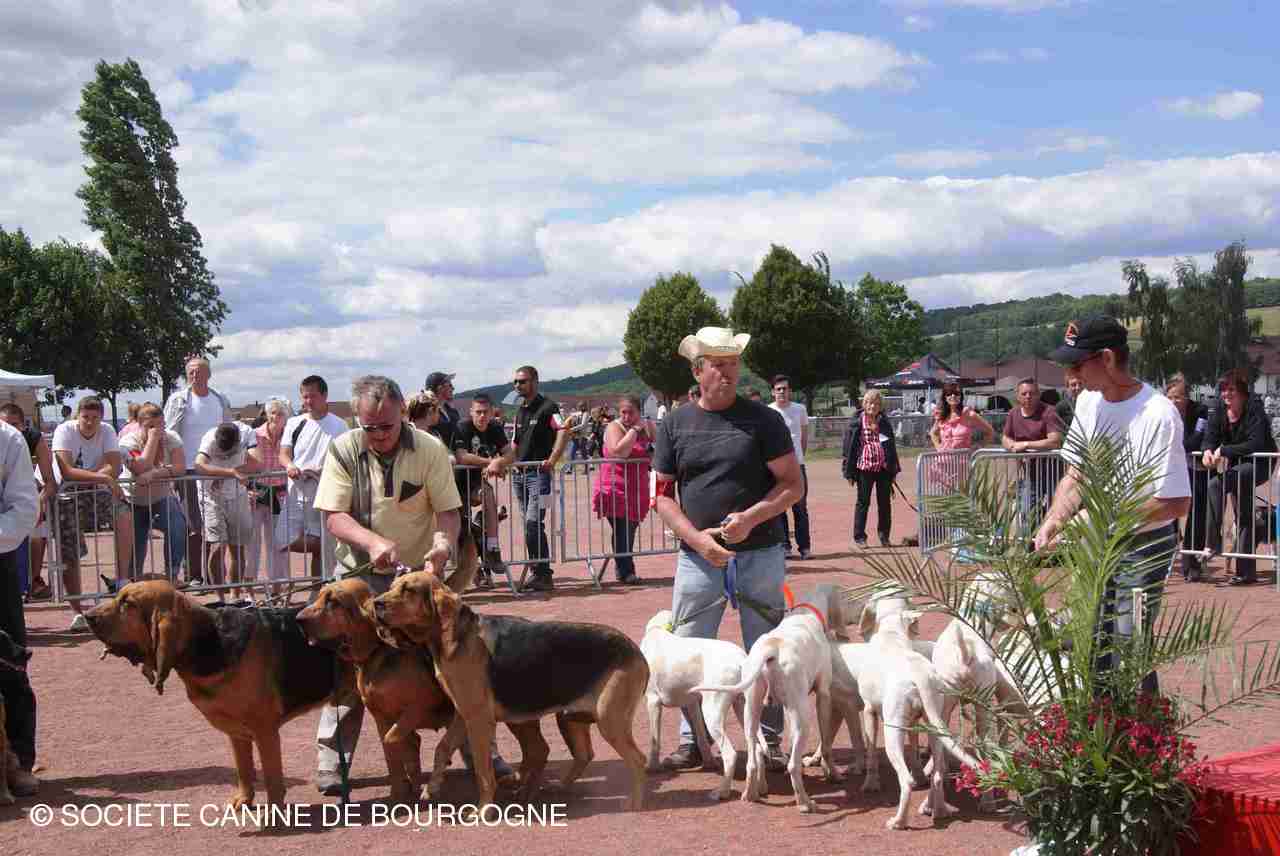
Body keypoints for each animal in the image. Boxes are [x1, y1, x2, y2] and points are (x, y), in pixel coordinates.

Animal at [84, 580, 345, 809]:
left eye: (128, 603)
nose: (88, 616)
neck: (208, 642)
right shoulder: (237, 732)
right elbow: (243, 768)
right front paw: (243, 800)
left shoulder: (266, 732)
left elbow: (272, 779)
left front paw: (275, 817)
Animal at [296, 577, 463, 804]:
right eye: (320, 595)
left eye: (334, 601)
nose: (298, 619)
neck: (377, 652)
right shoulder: (381, 717)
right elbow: (392, 756)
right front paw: (400, 792)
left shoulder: (418, 706)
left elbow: (396, 740)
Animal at [371, 570, 650, 810]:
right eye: (393, 586)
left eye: (408, 590)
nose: (376, 604)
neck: (458, 635)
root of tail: (636, 651)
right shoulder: (463, 714)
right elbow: (442, 750)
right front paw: (432, 788)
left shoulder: (479, 721)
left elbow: (483, 772)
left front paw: (482, 811)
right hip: (569, 718)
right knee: (583, 754)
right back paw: (556, 787)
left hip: (609, 720)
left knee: (637, 760)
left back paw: (634, 803)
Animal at [641, 609, 763, 801]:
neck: (657, 631)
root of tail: (741, 660)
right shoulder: (693, 704)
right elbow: (700, 737)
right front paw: (708, 763)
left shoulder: (653, 702)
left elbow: (655, 741)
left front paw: (652, 767)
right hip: (744, 709)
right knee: (757, 750)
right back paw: (756, 791)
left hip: (713, 713)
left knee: (731, 755)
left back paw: (722, 792)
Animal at [692, 583, 849, 813]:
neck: (806, 613)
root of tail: (771, 649)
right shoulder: (823, 696)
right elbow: (827, 745)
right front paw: (833, 774)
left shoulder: (787, 707)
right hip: (803, 717)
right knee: (792, 766)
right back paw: (804, 803)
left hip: (751, 710)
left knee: (753, 758)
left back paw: (751, 794)